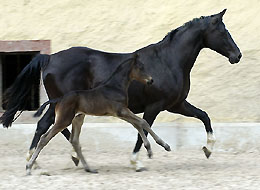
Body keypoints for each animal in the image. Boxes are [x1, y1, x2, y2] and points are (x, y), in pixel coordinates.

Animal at [1, 9, 242, 171]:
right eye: (223, 32)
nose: (237, 55)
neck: (168, 60)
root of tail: (49, 58)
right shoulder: (154, 106)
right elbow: (143, 129)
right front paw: (137, 161)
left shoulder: (176, 105)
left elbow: (204, 116)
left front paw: (208, 149)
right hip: (61, 103)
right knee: (45, 126)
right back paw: (34, 161)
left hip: (65, 105)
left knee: (58, 128)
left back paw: (70, 157)